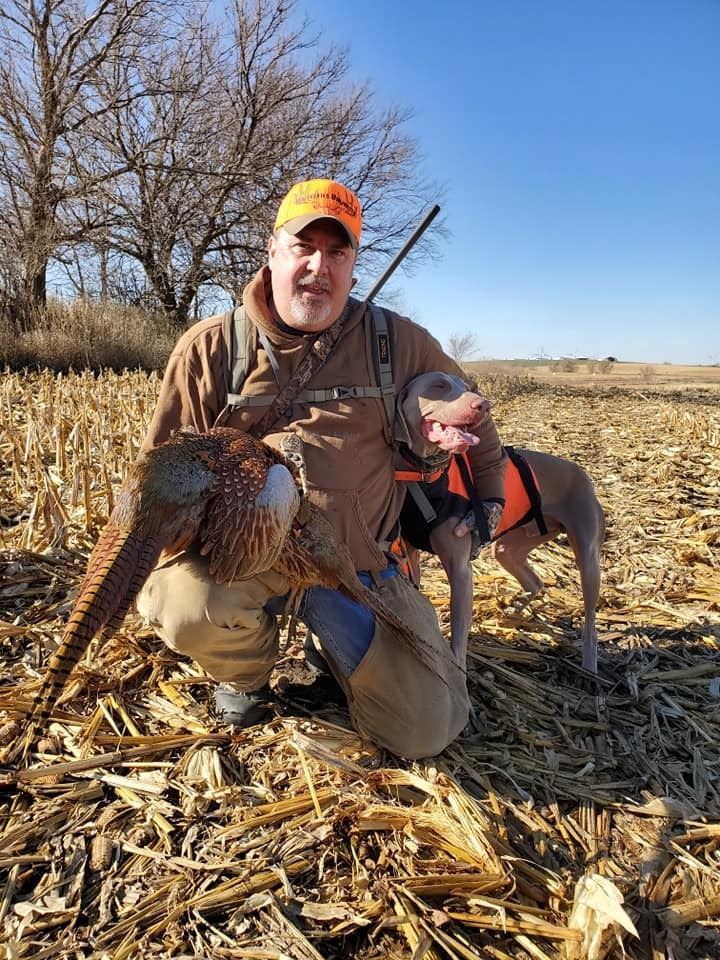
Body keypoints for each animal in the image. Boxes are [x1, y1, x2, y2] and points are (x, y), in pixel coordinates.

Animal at [395, 371, 604, 674]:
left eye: (467, 387)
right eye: (439, 385)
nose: (483, 404)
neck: (427, 478)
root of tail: (582, 473)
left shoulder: (460, 569)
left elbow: (458, 642)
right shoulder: (411, 554)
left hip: (587, 555)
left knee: (590, 620)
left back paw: (589, 665)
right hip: (511, 546)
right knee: (535, 582)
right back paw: (513, 610)